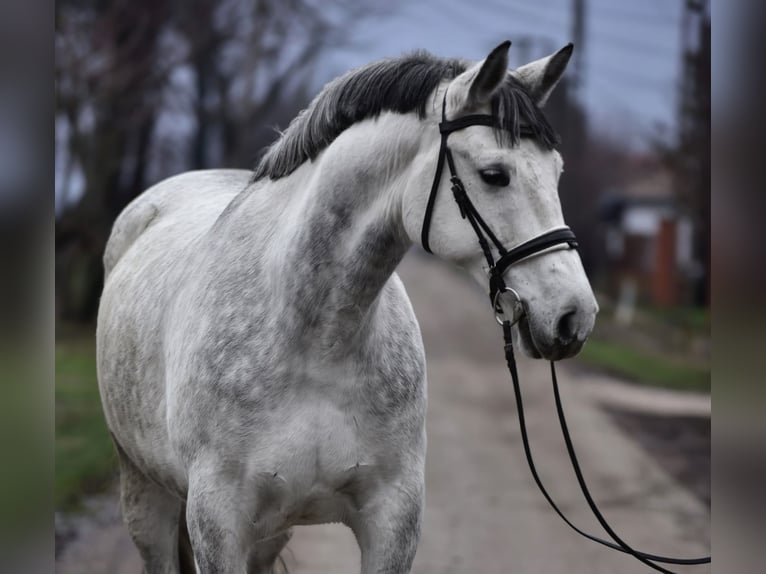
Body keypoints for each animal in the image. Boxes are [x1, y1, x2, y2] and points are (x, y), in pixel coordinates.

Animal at [97, 41, 598, 573]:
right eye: (495, 175)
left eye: (557, 172)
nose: (574, 315)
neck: (315, 338)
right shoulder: (218, 522)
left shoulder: (392, 520)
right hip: (145, 494)